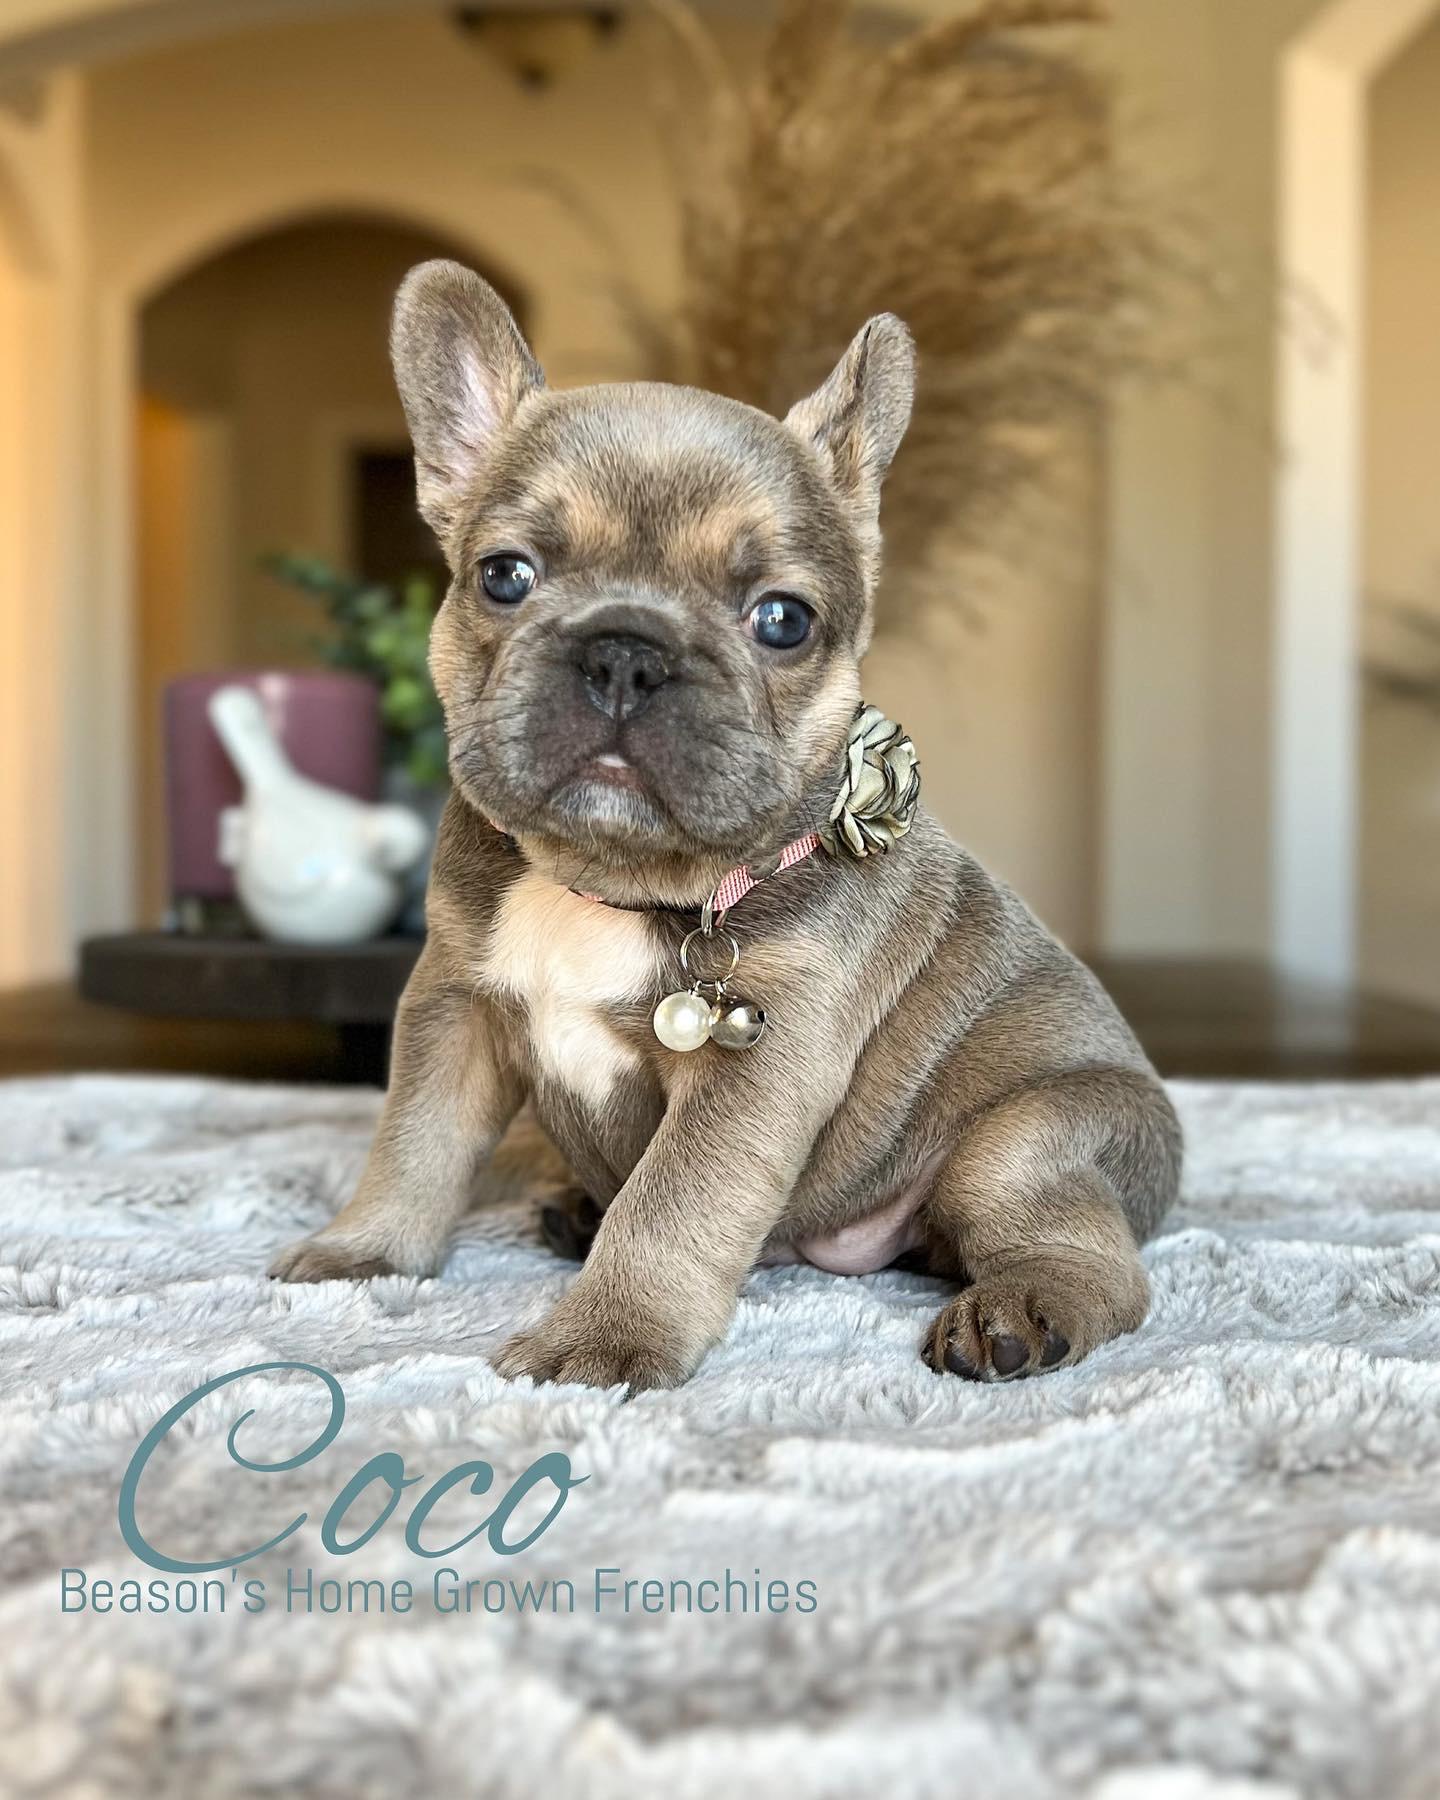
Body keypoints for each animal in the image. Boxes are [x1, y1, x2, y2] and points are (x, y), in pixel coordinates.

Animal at [269, 259, 1182, 1390]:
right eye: (505, 575)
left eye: (782, 620)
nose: (625, 651)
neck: (607, 881)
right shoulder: (453, 1005)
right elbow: (416, 1142)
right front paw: (367, 1251)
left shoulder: (756, 1067)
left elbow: (672, 1204)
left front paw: (605, 1336)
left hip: (1031, 1140)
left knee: (1086, 1250)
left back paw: (1018, 1309)